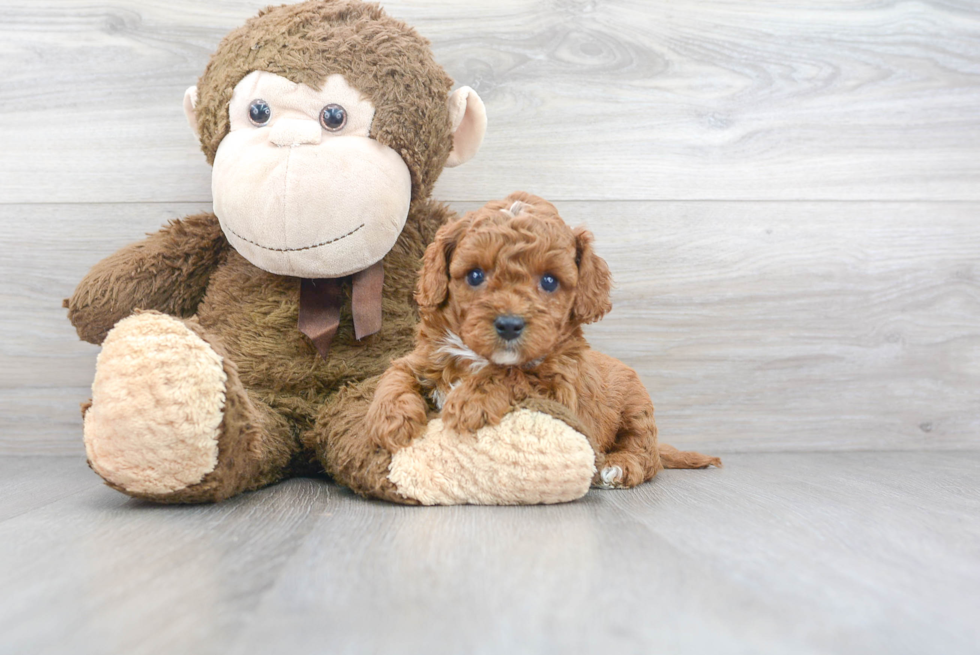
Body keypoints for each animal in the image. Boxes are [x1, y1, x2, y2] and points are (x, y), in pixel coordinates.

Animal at [368, 190, 720, 486]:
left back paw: (619, 466)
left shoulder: (559, 393)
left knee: (647, 457)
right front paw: (390, 418)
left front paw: (470, 400)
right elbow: (394, 375)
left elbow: (513, 375)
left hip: (637, 411)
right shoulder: (424, 358)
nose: (509, 325)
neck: (477, 356)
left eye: (549, 281)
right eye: (476, 275)